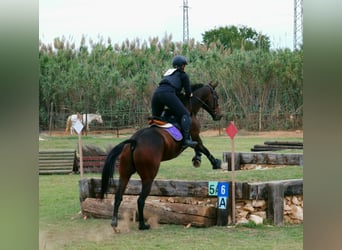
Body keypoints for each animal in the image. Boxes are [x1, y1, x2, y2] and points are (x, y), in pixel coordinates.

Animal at [99, 82, 223, 230]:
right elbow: (202, 148)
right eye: (216, 97)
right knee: (140, 199)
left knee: (118, 196)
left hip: (125, 173)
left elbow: (199, 148)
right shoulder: (194, 136)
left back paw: (114, 223)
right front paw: (215, 162)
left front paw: (197, 159)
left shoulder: (193, 138)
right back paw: (143, 225)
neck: (189, 106)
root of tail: (134, 141)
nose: (220, 115)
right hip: (148, 176)